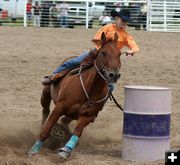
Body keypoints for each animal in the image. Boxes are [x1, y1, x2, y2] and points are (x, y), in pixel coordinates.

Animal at [28, 31, 121, 160]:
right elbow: (46, 130)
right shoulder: (59, 107)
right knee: (45, 111)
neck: (90, 88)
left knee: (64, 120)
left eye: (120, 54)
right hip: (46, 93)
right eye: (104, 52)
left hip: (73, 114)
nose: (114, 75)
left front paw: (65, 151)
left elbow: (77, 132)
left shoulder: (87, 116)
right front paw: (34, 150)